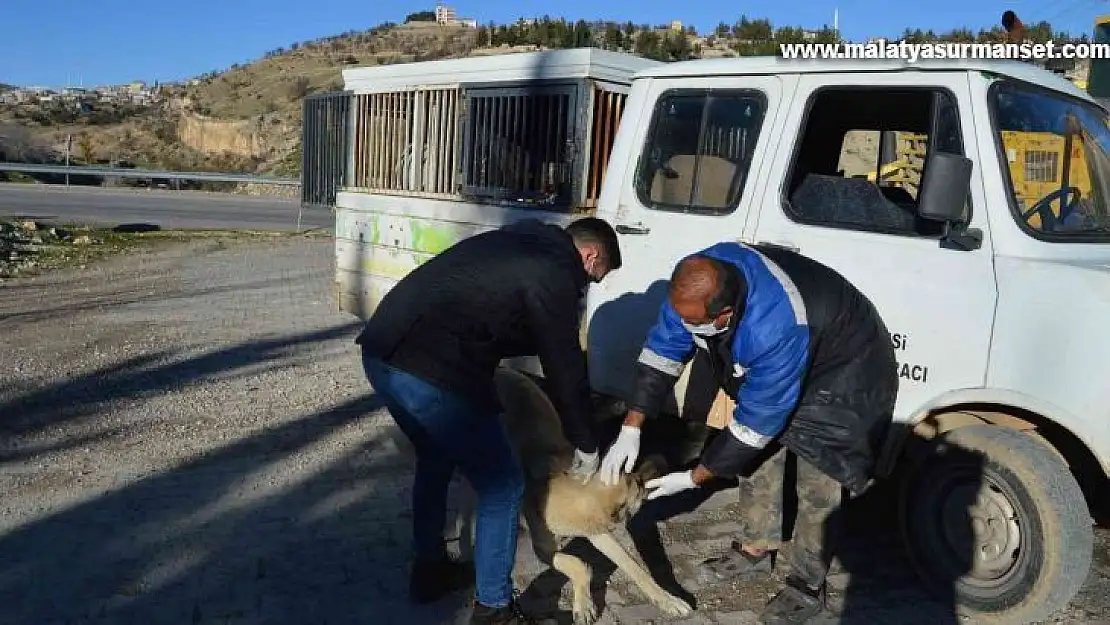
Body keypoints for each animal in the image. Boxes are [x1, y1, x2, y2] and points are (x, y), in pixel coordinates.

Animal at [452, 366, 692, 625]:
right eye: (638, 489)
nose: (659, 465)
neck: (578, 496)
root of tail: (502, 368)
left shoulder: (598, 533)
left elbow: (634, 566)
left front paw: (667, 599)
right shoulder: (544, 548)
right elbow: (578, 563)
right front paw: (584, 605)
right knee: (464, 511)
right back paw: (464, 550)